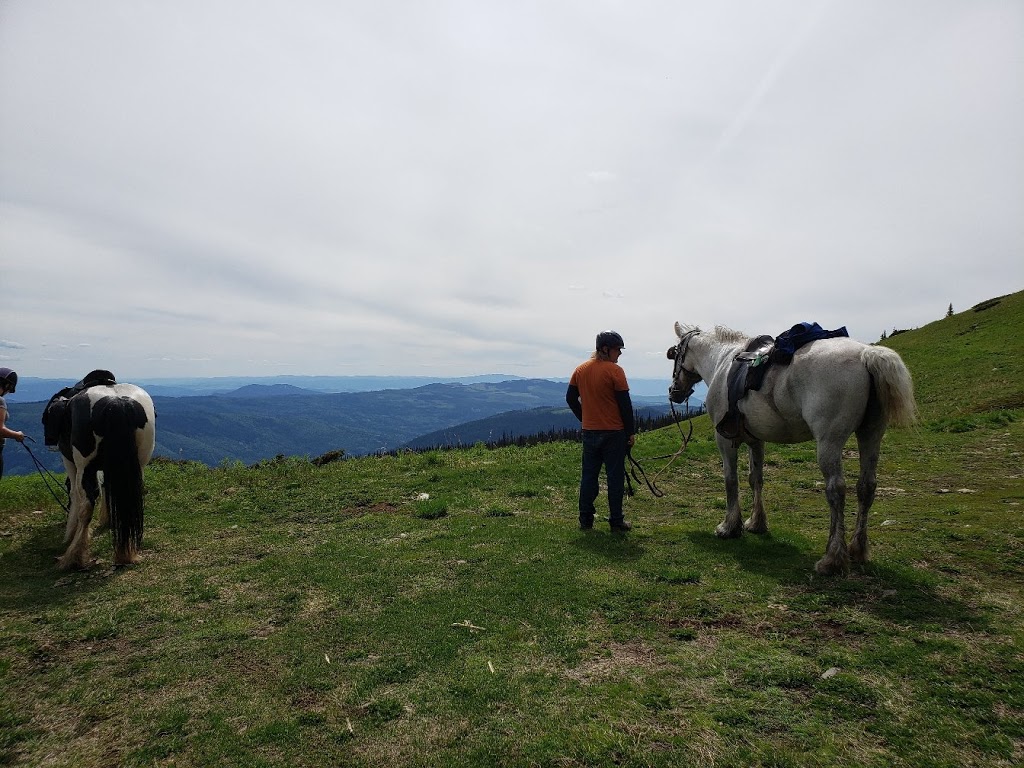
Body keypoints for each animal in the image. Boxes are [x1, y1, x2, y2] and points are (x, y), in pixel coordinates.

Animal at [41, 378, 155, 573]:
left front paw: (70, 532)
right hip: (138, 463)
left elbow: (75, 495)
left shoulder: (70, 462)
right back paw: (126, 552)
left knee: (86, 506)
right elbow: (106, 487)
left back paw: (74, 556)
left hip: (84, 466)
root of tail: (117, 402)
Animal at [667, 321, 917, 573]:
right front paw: (756, 522)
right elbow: (755, 479)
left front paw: (729, 527)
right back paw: (858, 549)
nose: (673, 391)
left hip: (830, 441)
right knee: (866, 486)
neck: (721, 360)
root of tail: (866, 354)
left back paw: (833, 558)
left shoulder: (725, 440)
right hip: (871, 433)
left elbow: (731, 480)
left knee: (836, 489)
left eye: (675, 354)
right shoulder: (756, 440)